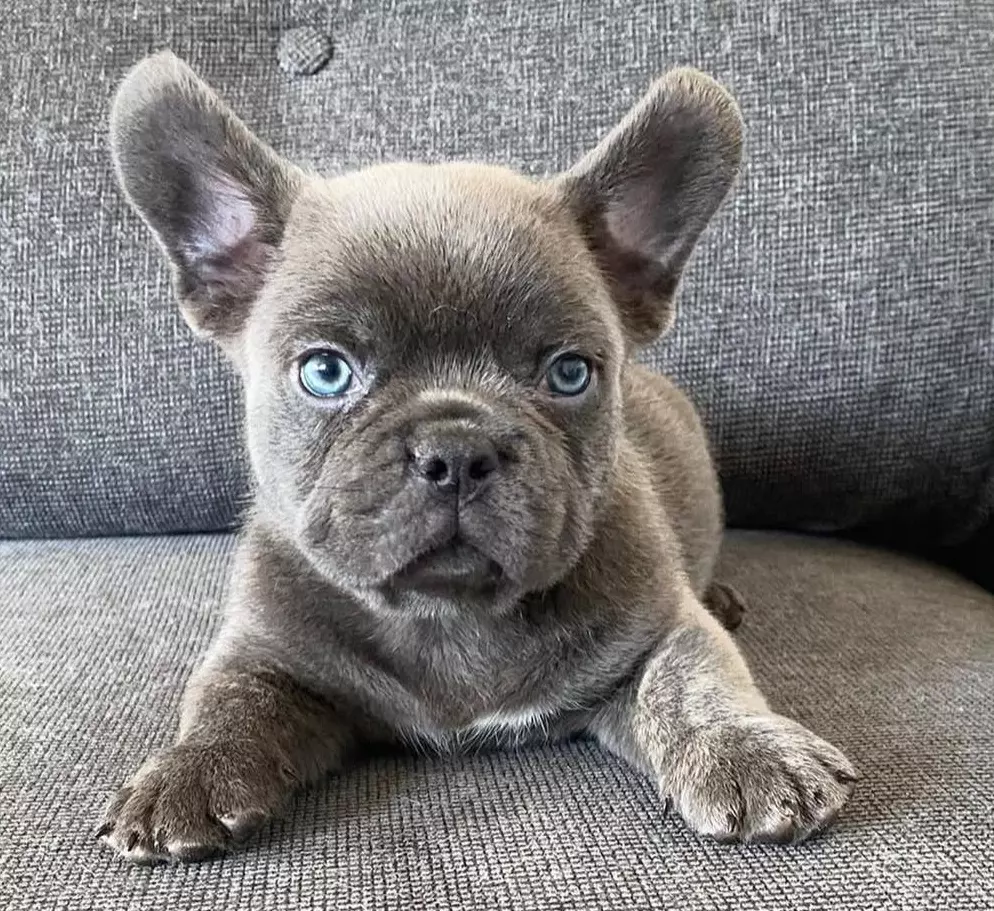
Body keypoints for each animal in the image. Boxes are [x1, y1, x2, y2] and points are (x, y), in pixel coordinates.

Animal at [98, 52, 857, 864]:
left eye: (569, 373)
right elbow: (229, 700)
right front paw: (188, 769)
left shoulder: (660, 626)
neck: (449, 611)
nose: (457, 449)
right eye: (325, 372)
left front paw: (749, 747)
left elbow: (694, 679)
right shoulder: (264, 648)